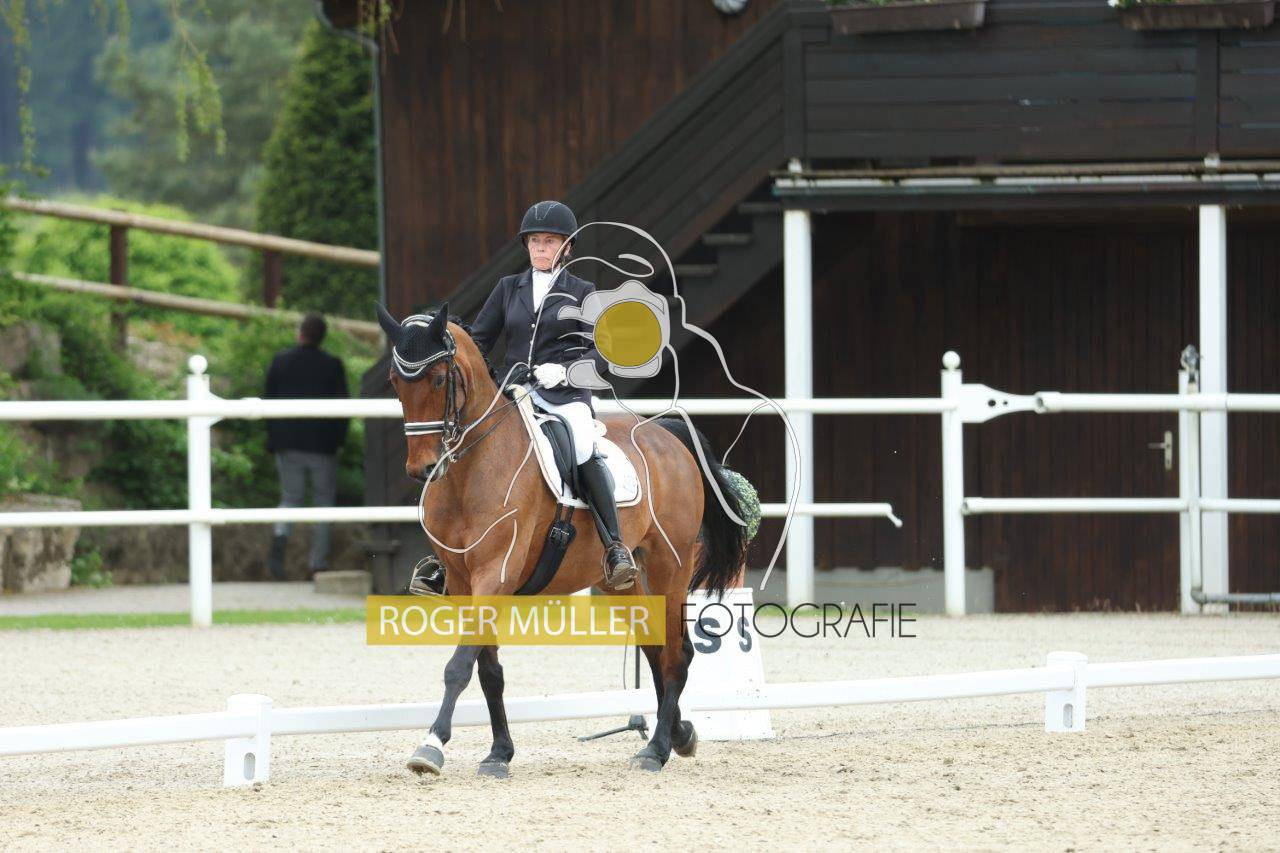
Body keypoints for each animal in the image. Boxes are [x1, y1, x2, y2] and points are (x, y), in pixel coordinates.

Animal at [375, 302, 748, 776]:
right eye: (395, 382)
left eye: (439, 379)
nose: (422, 469)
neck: (471, 468)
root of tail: (666, 435)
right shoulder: (461, 581)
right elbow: (487, 670)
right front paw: (499, 753)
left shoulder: (494, 573)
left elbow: (459, 665)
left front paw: (431, 747)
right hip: (619, 582)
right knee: (655, 648)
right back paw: (680, 735)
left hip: (671, 566)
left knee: (678, 654)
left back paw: (656, 749)